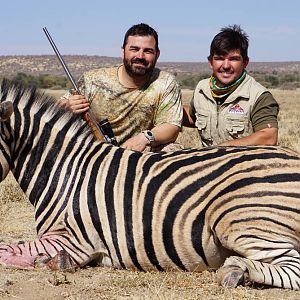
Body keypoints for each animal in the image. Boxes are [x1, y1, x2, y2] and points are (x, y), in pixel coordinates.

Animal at [0, 78, 300, 290]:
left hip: (236, 217)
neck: (66, 170)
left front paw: (49, 262)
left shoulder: (73, 240)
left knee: (293, 267)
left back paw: (234, 270)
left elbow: (6, 251)